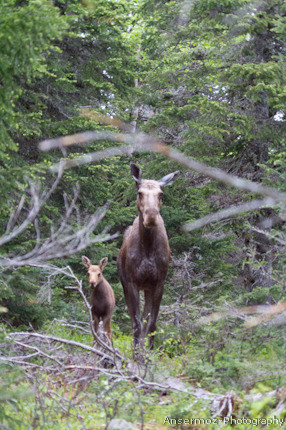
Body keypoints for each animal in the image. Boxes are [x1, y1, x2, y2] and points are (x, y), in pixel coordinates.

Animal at [116, 162, 179, 350]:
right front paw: (136, 354)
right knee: (133, 320)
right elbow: (136, 324)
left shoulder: (158, 283)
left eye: (161, 193)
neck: (148, 247)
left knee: (145, 320)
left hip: (148, 288)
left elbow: (151, 324)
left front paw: (150, 352)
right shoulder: (132, 283)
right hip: (126, 283)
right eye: (140, 193)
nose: (151, 217)